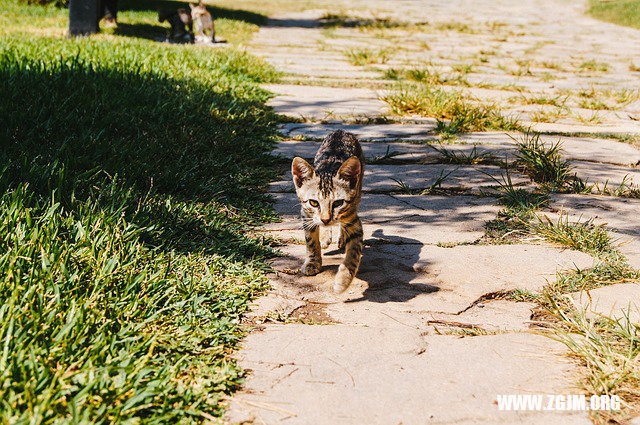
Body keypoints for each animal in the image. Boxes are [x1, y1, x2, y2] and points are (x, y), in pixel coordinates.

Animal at [292, 129, 364, 294]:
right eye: (313, 202)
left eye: (338, 203)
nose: (325, 219)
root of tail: (341, 131)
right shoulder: (306, 214)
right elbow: (311, 241)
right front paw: (313, 262)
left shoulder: (353, 219)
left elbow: (354, 251)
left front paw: (343, 279)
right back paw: (325, 236)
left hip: (358, 191)